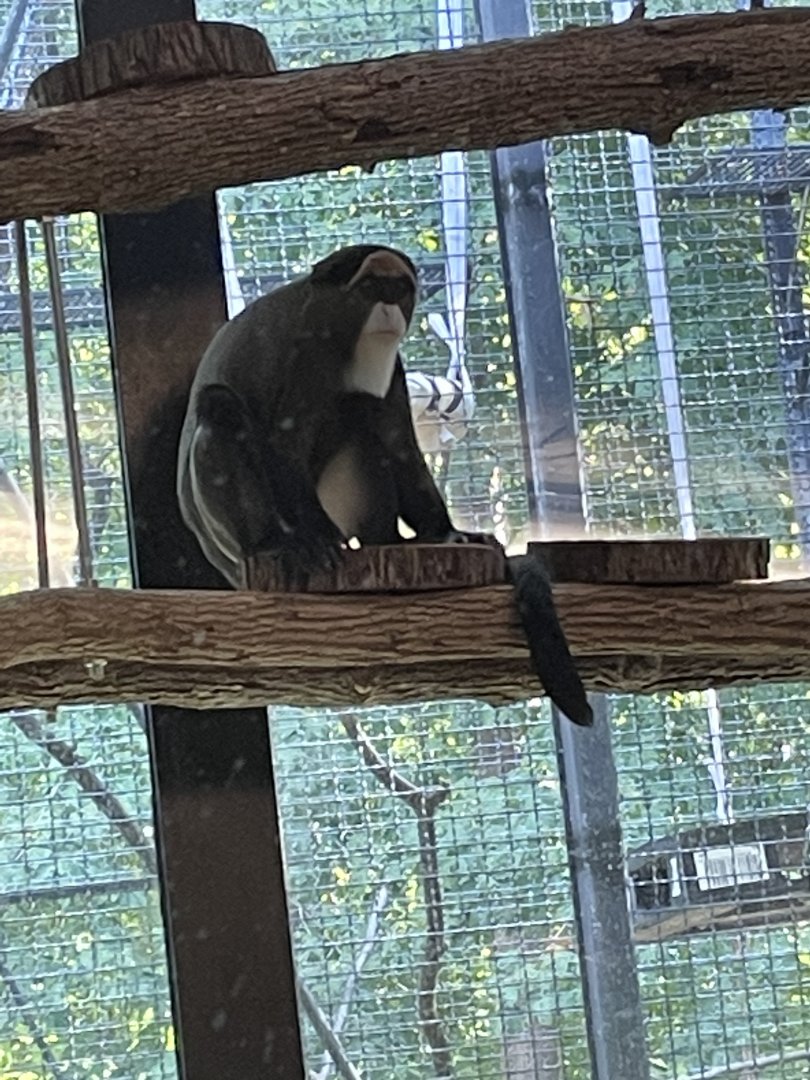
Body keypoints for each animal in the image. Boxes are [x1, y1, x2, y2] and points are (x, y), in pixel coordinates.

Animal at [176, 244, 592, 727]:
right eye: (373, 287)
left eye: (399, 289)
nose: (390, 311)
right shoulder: (308, 353)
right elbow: (285, 443)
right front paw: (317, 539)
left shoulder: (392, 369)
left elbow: (400, 444)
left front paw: (447, 533)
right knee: (219, 406)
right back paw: (270, 543)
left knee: (361, 411)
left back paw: (387, 539)